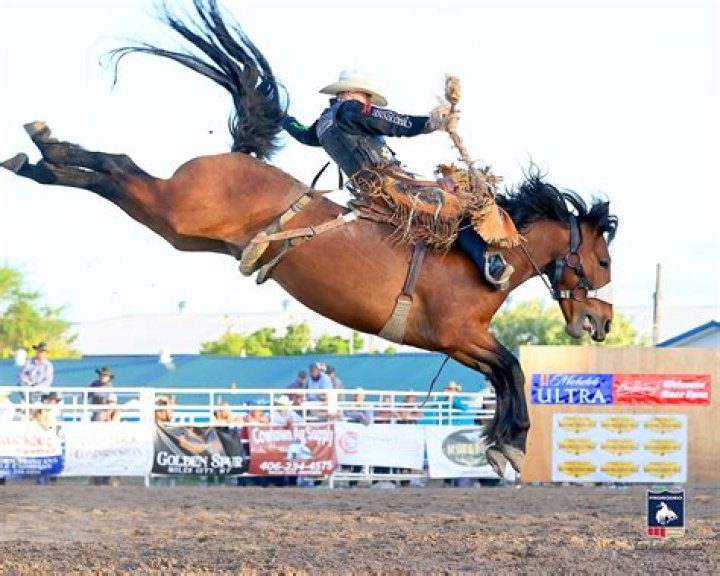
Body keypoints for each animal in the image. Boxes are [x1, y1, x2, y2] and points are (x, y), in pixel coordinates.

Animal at [0, 0, 617, 476]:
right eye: (605, 260)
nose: (601, 322)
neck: (488, 249)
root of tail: (237, 157)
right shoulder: (457, 334)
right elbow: (512, 367)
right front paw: (510, 444)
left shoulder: (457, 344)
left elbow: (504, 374)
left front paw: (500, 442)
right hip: (174, 207)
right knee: (123, 167)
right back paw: (44, 147)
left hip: (175, 226)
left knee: (117, 175)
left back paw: (40, 156)